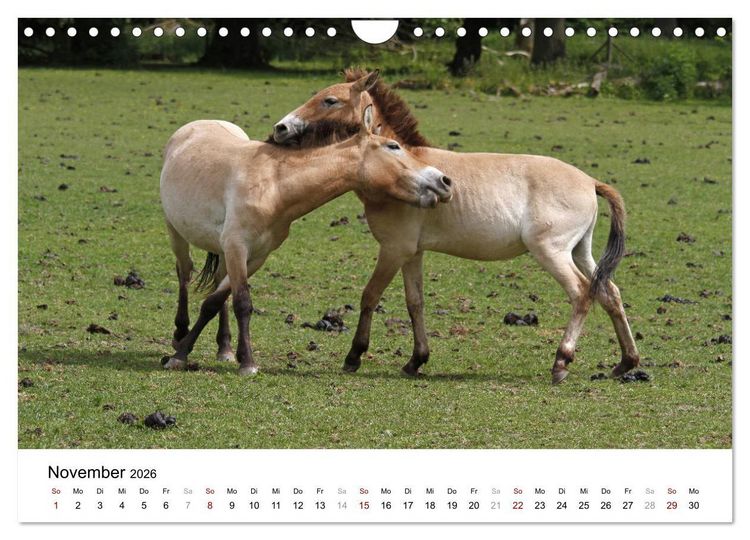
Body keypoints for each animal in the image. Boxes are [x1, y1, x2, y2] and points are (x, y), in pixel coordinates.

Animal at [159, 104, 453, 375]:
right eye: (393, 146)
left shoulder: (256, 255)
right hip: (176, 233)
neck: (273, 185)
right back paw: (179, 332)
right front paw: (200, 357)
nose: (444, 181)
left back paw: (224, 348)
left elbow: (217, 300)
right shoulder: (236, 247)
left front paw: (221, 354)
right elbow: (241, 302)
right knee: (184, 273)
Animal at [271, 69, 640, 384]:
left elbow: (370, 296)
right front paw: (416, 360)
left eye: (330, 100)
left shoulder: (393, 249)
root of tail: (591, 181)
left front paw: (354, 356)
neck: (402, 167)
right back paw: (626, 362)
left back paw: (562, 362)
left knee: (581, 293)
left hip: (552, 252)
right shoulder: (412, 253)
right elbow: (415, 302)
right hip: (580, 252)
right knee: (609, 293)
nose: (280, 128)